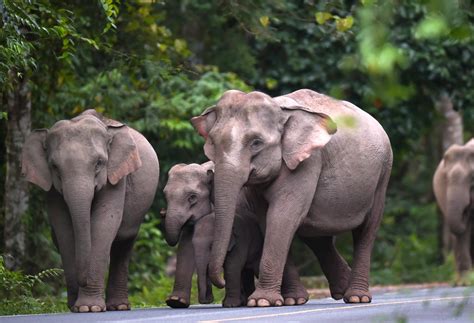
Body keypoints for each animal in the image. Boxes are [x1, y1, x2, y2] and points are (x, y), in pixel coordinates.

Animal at [21, 109, 159, 314]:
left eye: (99, 163)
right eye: (54, 167)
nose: (82, 281)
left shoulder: (116, 177)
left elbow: (104, 223)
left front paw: (89, 308)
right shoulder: (51, 188)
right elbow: (63, 227)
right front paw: (78, 307)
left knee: (124, 244)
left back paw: (119, 306)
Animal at [191, 90, 394, 308]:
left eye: (256, 143)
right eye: (213, 143)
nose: (219, 284)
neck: (279, 108)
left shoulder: (308, 161)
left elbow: (282, 217)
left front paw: (262, 301)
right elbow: (268, 220)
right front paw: (292, 300)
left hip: (383, 174)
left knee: (366, 230)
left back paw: (357, 297)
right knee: (317, 237)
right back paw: (342, 290)